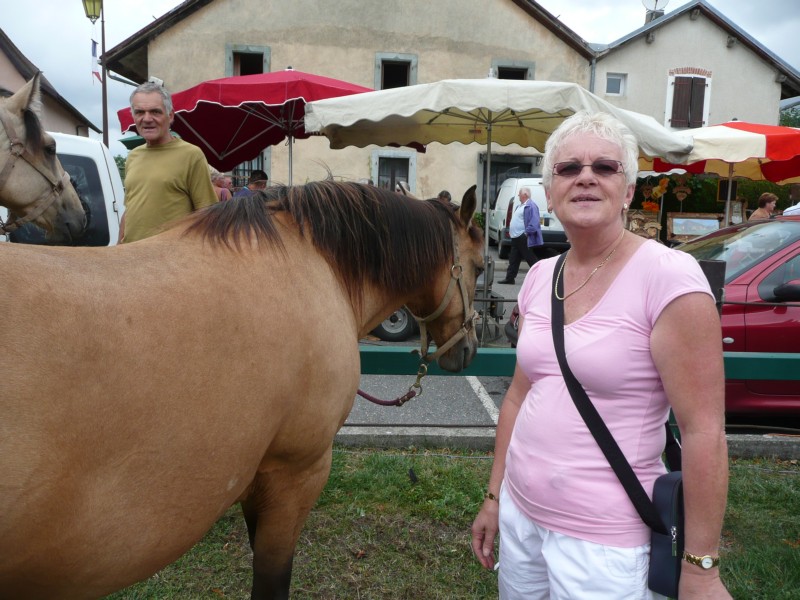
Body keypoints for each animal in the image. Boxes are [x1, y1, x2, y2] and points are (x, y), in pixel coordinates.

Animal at [0, 180, 482, 596]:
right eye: (479, 266)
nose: (469, 350)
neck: (313, 263)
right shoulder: (295, 473)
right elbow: (272, 577)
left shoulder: (259, 476)